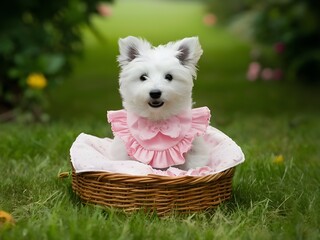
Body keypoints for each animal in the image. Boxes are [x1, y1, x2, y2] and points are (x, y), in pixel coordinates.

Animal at [109, 36, 211, 170]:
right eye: (143, 77)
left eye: (169, 76)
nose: (155, 93)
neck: (158, 120)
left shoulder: (194, 148)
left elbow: (193, 164)